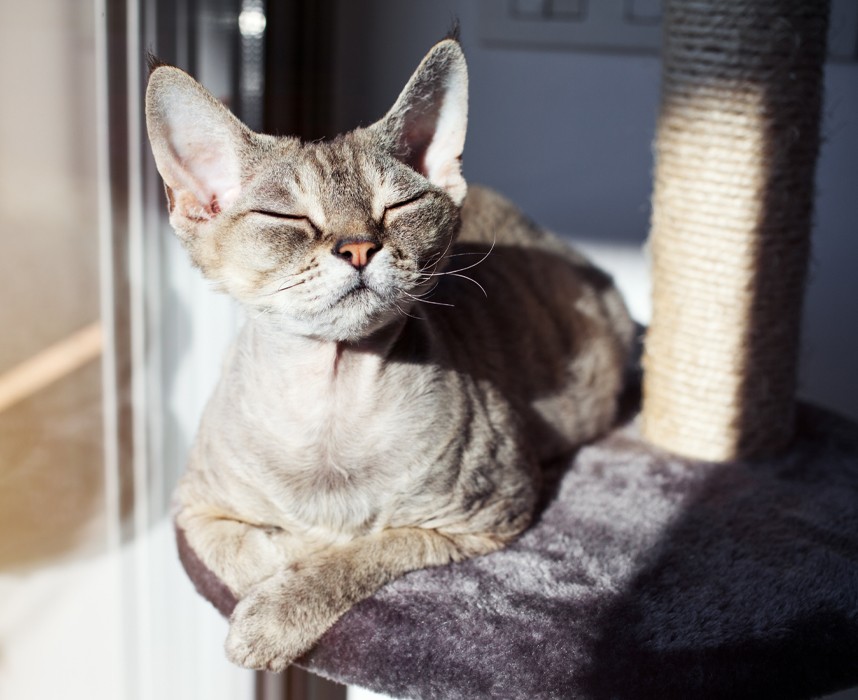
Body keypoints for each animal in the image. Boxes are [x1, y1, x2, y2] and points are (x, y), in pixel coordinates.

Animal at [144, 35, 632, 668]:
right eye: (286, 217)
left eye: (398, 206)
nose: (357, 248)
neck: (330, 402)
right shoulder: (193, 508)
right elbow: (249, 552)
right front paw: (280, 570)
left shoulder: (485, 518)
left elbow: (357, 554)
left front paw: (275, 614)